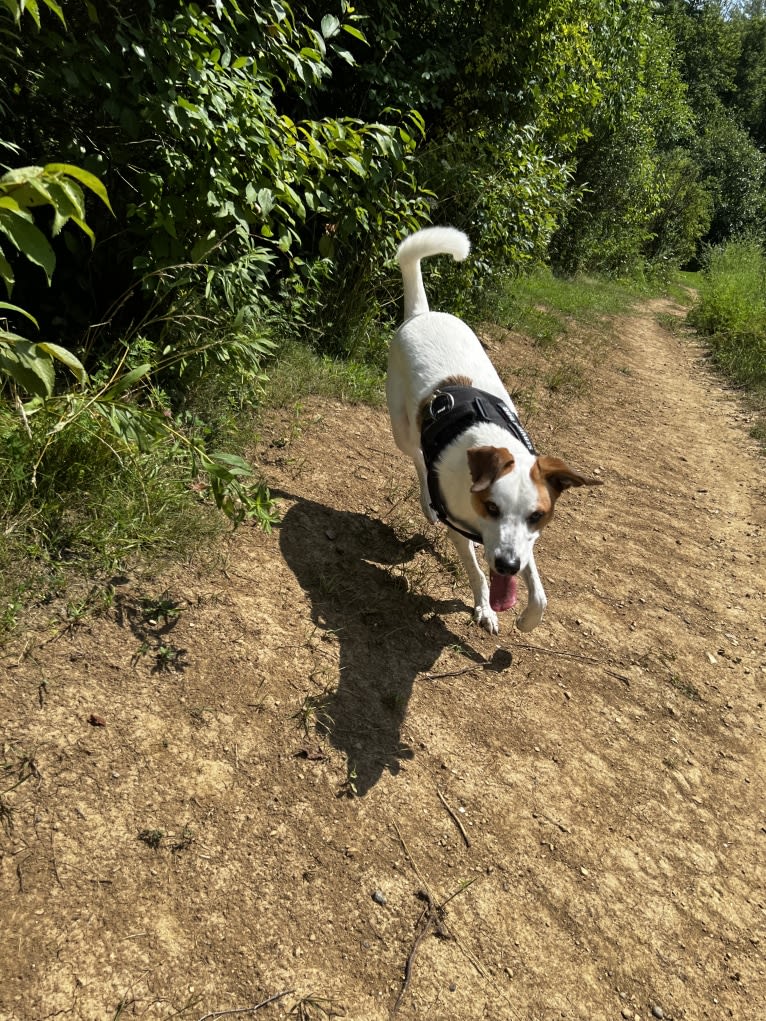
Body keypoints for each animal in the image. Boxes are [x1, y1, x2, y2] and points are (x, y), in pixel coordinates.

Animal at [386, 227, 604, 633]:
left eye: (537, 515)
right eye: (491, 506)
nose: (507, 565)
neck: (491, 439)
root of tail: (422, 313)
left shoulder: (525, 542)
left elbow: (538, 592)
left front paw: (529, 619)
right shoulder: (462, 530)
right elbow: (477, 573)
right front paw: (486, 608)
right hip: (402, 428)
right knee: (418, 459)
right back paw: (427, 499)